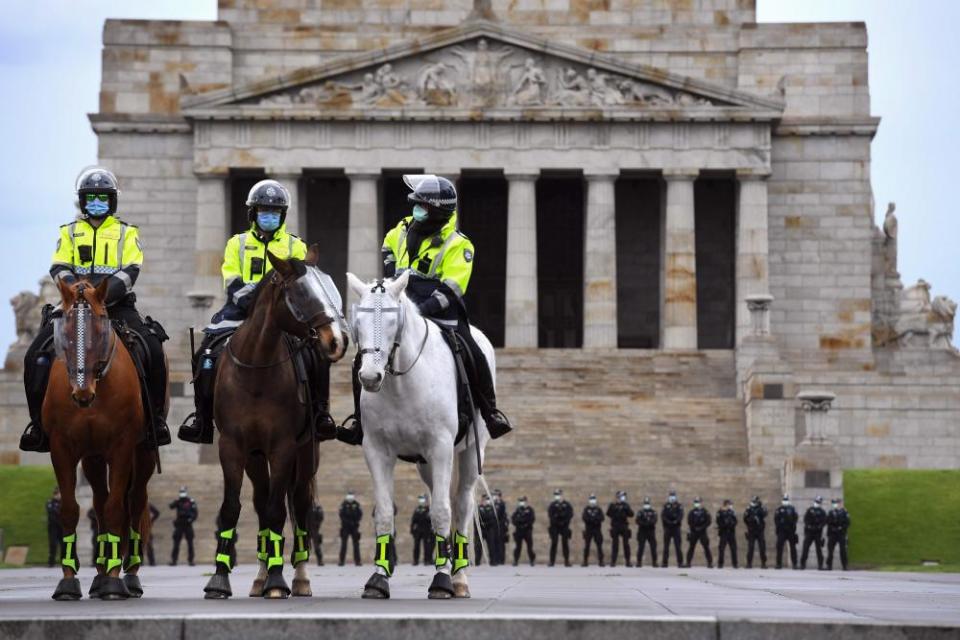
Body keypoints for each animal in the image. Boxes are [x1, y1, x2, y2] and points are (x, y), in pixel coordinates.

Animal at [46, 278, 159, 600]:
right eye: (65, 325)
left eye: (100, 323)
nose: (82, 394)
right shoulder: (61, 448)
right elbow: (71, 509)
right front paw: (69, 581)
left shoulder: (122, 447)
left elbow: (116, 508)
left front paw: (113, 579)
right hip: (93, 457)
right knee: (98, 501)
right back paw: (97, 572)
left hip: (143, 452)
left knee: (134, 502)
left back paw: (129, 576)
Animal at [202, 246, 348, 600]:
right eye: (302, 294)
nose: (339, 341)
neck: (256, 371)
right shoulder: (232, 447)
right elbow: (233, 507)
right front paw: (219, 579)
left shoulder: (283, 448)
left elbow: (278, 512)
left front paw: (278, 579)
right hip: (256, 457)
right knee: (261, 500)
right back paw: (258, 576)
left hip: (306, 451)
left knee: (299, 504)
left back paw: (299, 578)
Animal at [346, 270, 492, 600]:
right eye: (357, 320)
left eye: (393, 320)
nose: (369, 377)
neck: (401, 385)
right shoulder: (377, 450)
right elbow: (385, 513)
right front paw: (378, 578)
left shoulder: (441, 448)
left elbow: (441, 512)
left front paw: (441, 580)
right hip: (424, 463)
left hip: (469, 451)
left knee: (461, 505)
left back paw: (458, 578)